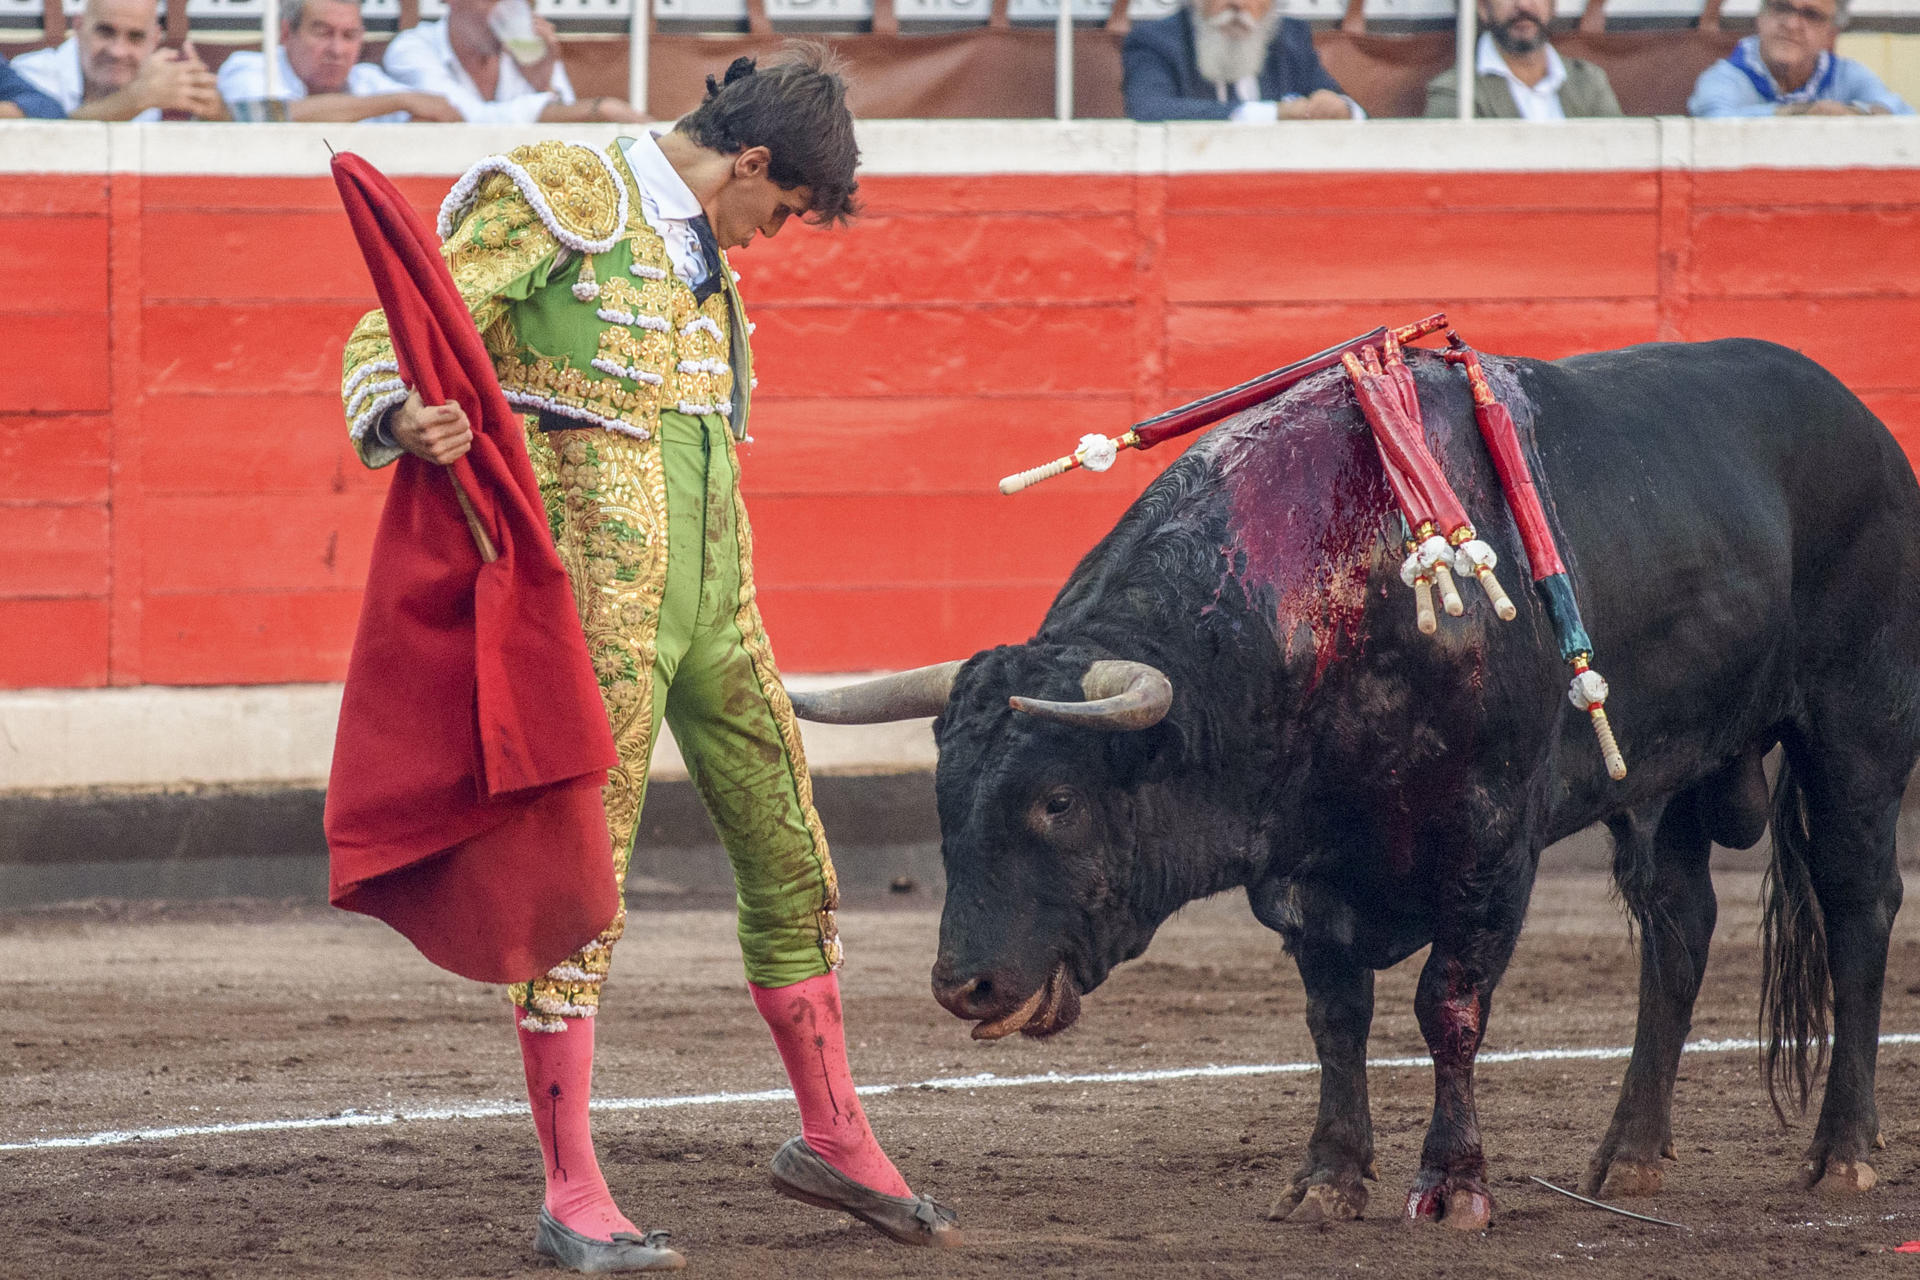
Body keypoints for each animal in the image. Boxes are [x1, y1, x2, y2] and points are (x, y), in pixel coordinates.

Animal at [783, 339, 1920, 1228]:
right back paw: (1630, 1154)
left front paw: (1453, 1186)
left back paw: (1842, 1154)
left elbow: (1445, 1006)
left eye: (1055, 802)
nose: (962, 984)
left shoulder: (1489, 847)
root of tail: (1865, 424)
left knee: (1858, 906)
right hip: (1674, 774)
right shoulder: (1309, 875)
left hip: (1858, 733)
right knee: (1680, 926)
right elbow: (1337, 1020)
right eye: (945, 799)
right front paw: (1327, 1178)